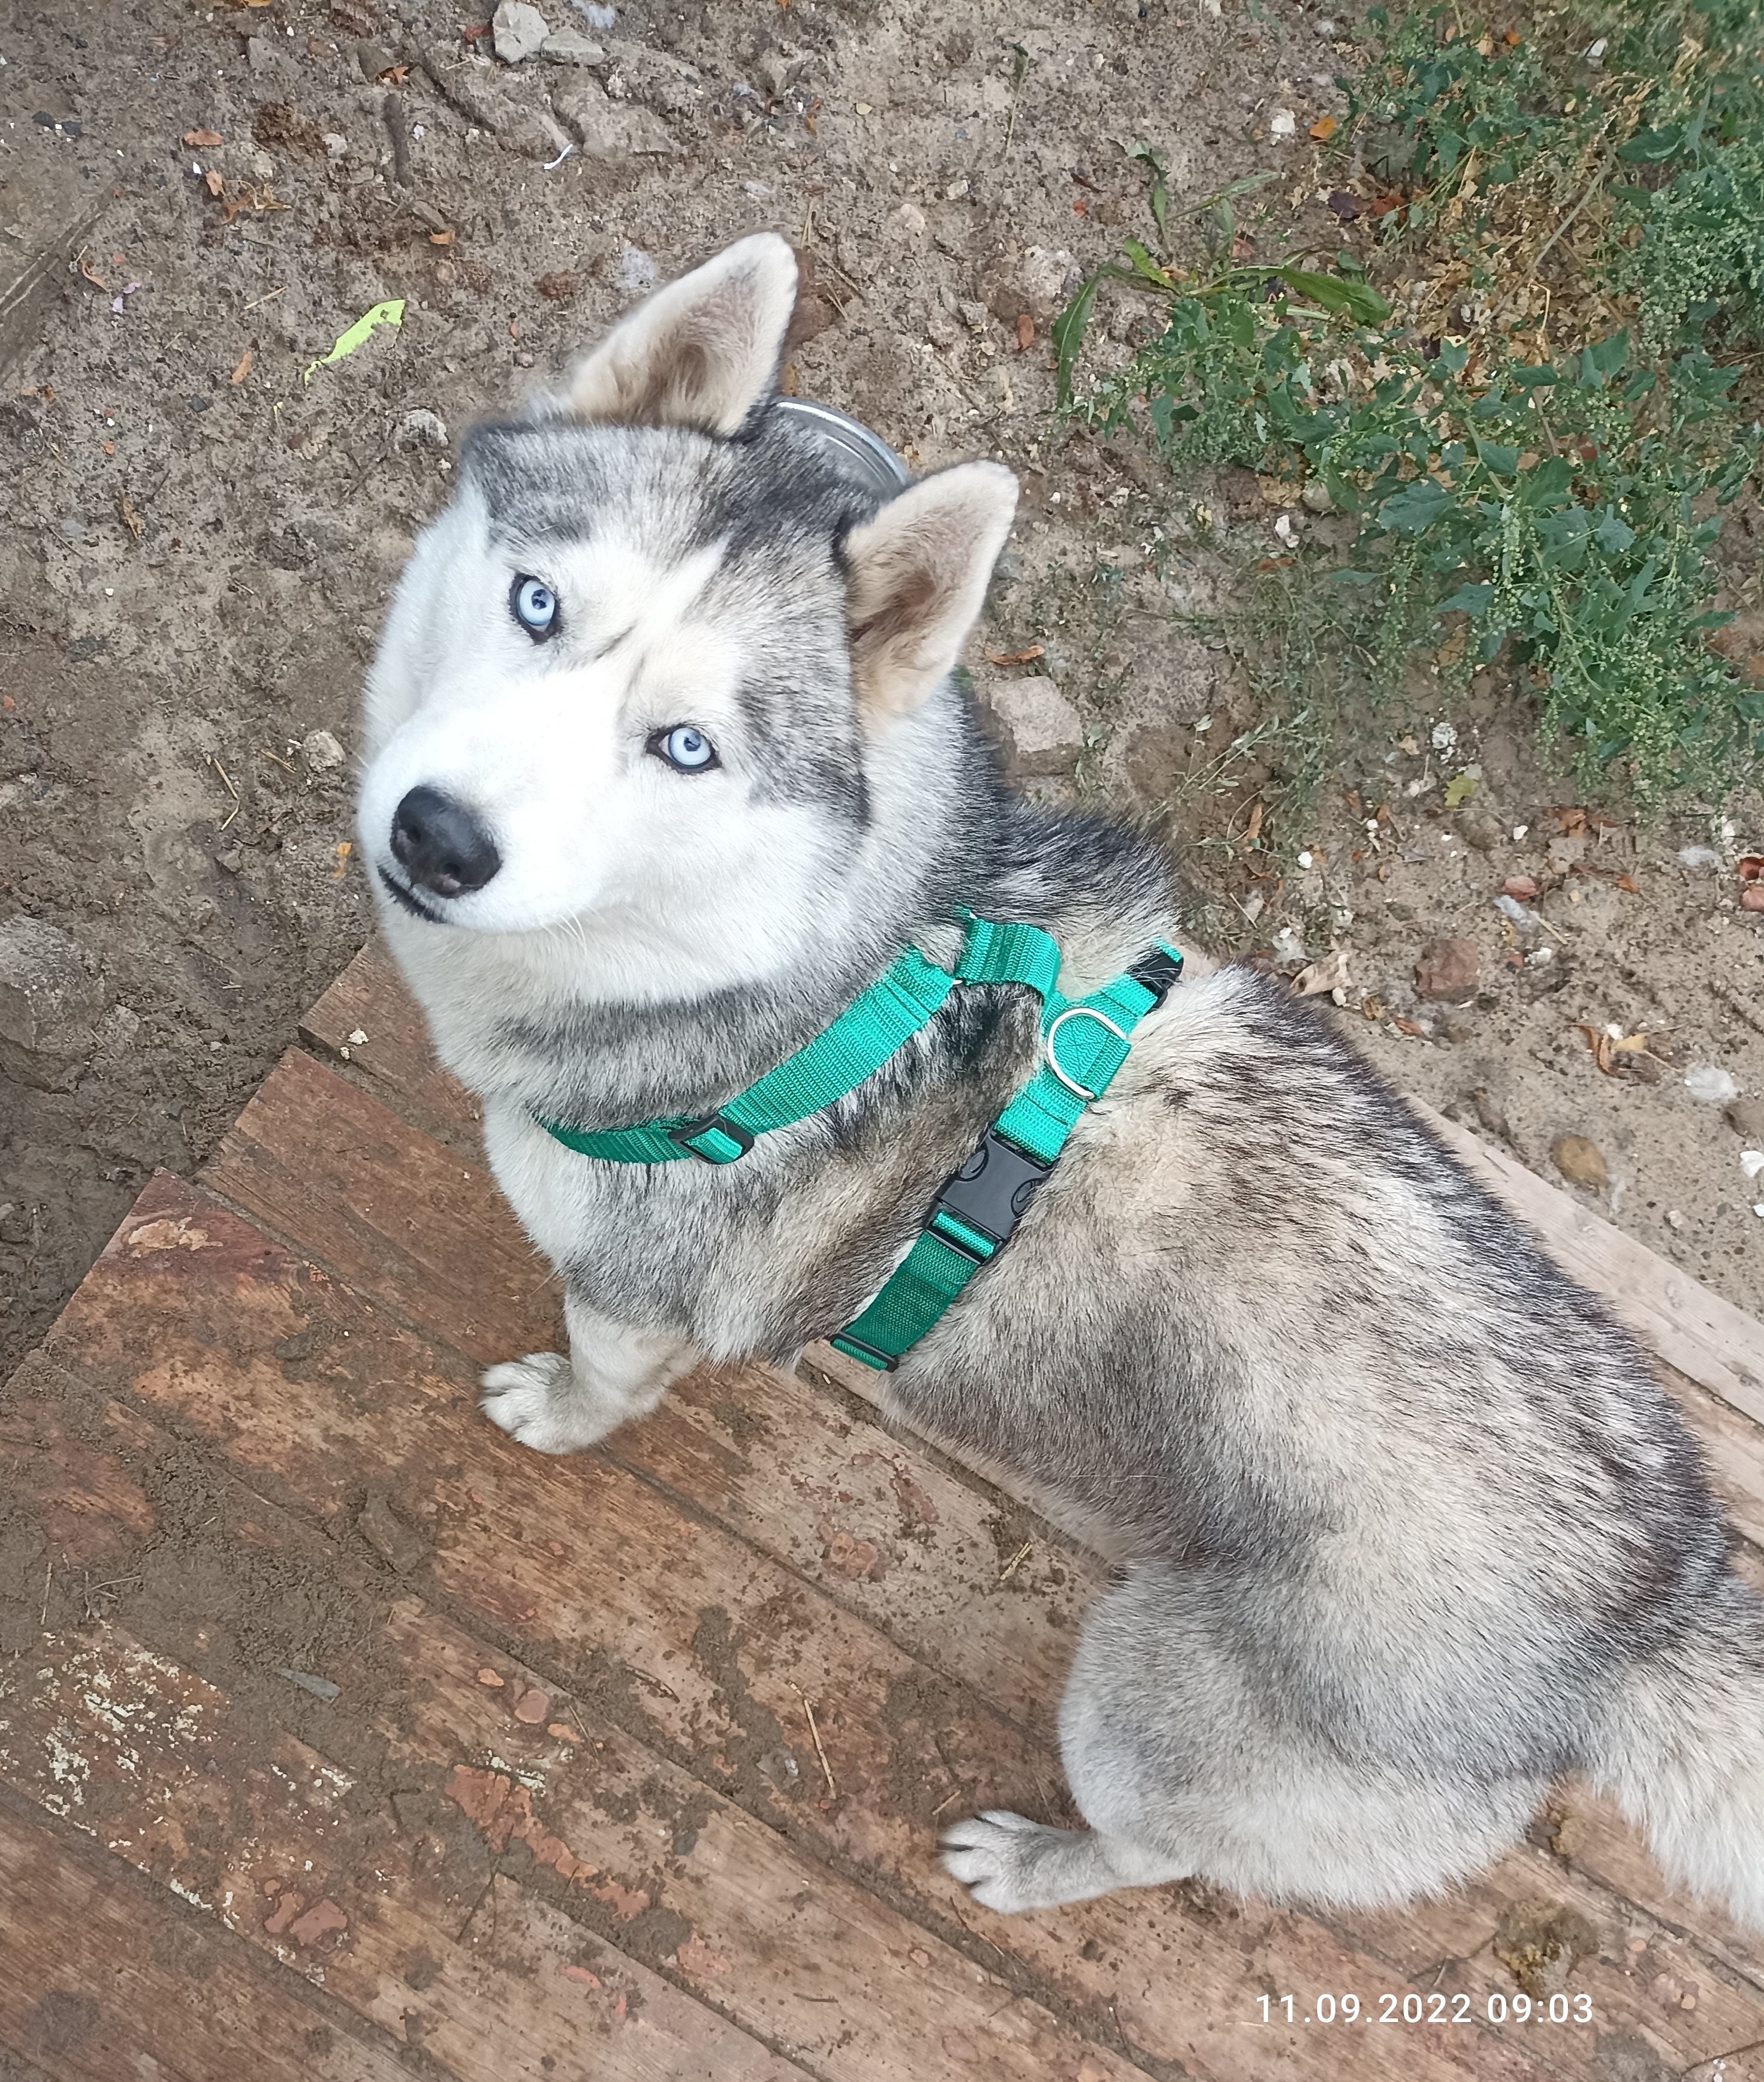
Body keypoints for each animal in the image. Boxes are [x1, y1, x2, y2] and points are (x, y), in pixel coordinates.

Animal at [358, 236, 1764, 1924]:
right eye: (536, 602)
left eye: (684, 747)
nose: (439, 837)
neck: (827, 965)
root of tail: (1652, 1618)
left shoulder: (634, 1296)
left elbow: (601, 1376)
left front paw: (556, 1413)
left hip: (1140, 1697)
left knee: (1157, 1849)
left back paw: (1036, 1862)